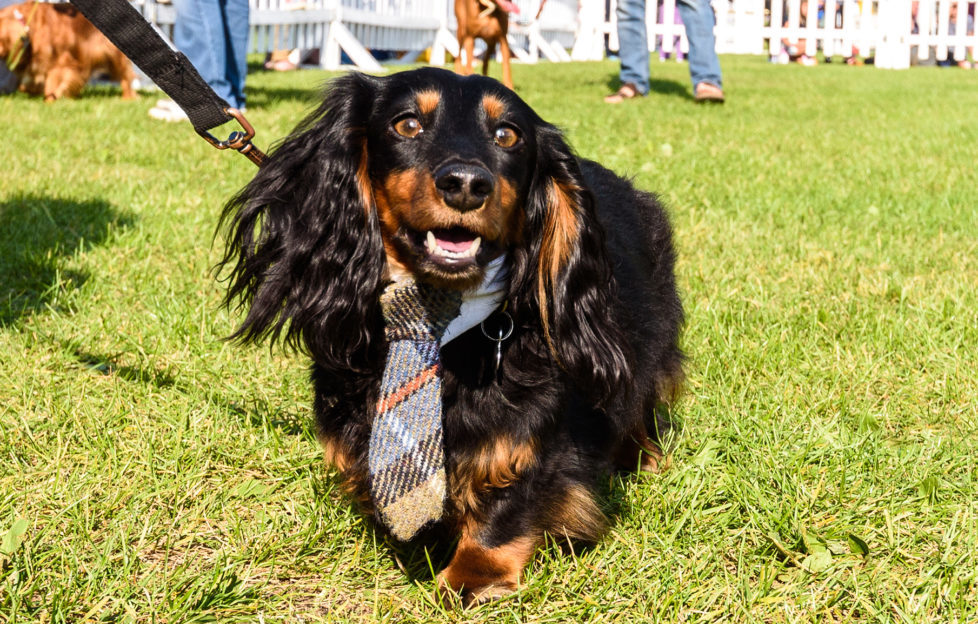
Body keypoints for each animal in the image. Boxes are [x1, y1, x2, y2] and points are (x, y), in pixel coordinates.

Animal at [0, 1, 134, 100]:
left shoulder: (62, 61)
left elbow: (52, 82)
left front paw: (51, 100)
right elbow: (25, 86)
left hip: (114, 55)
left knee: (125, 75)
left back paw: (128, 97)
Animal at [217, 67, 684, 604]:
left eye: (508, 135)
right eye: (407, 124)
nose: (465, 185)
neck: (435, 326)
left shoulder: (535, 429)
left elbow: (509, 498)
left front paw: (473, 574)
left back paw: (643, 457)